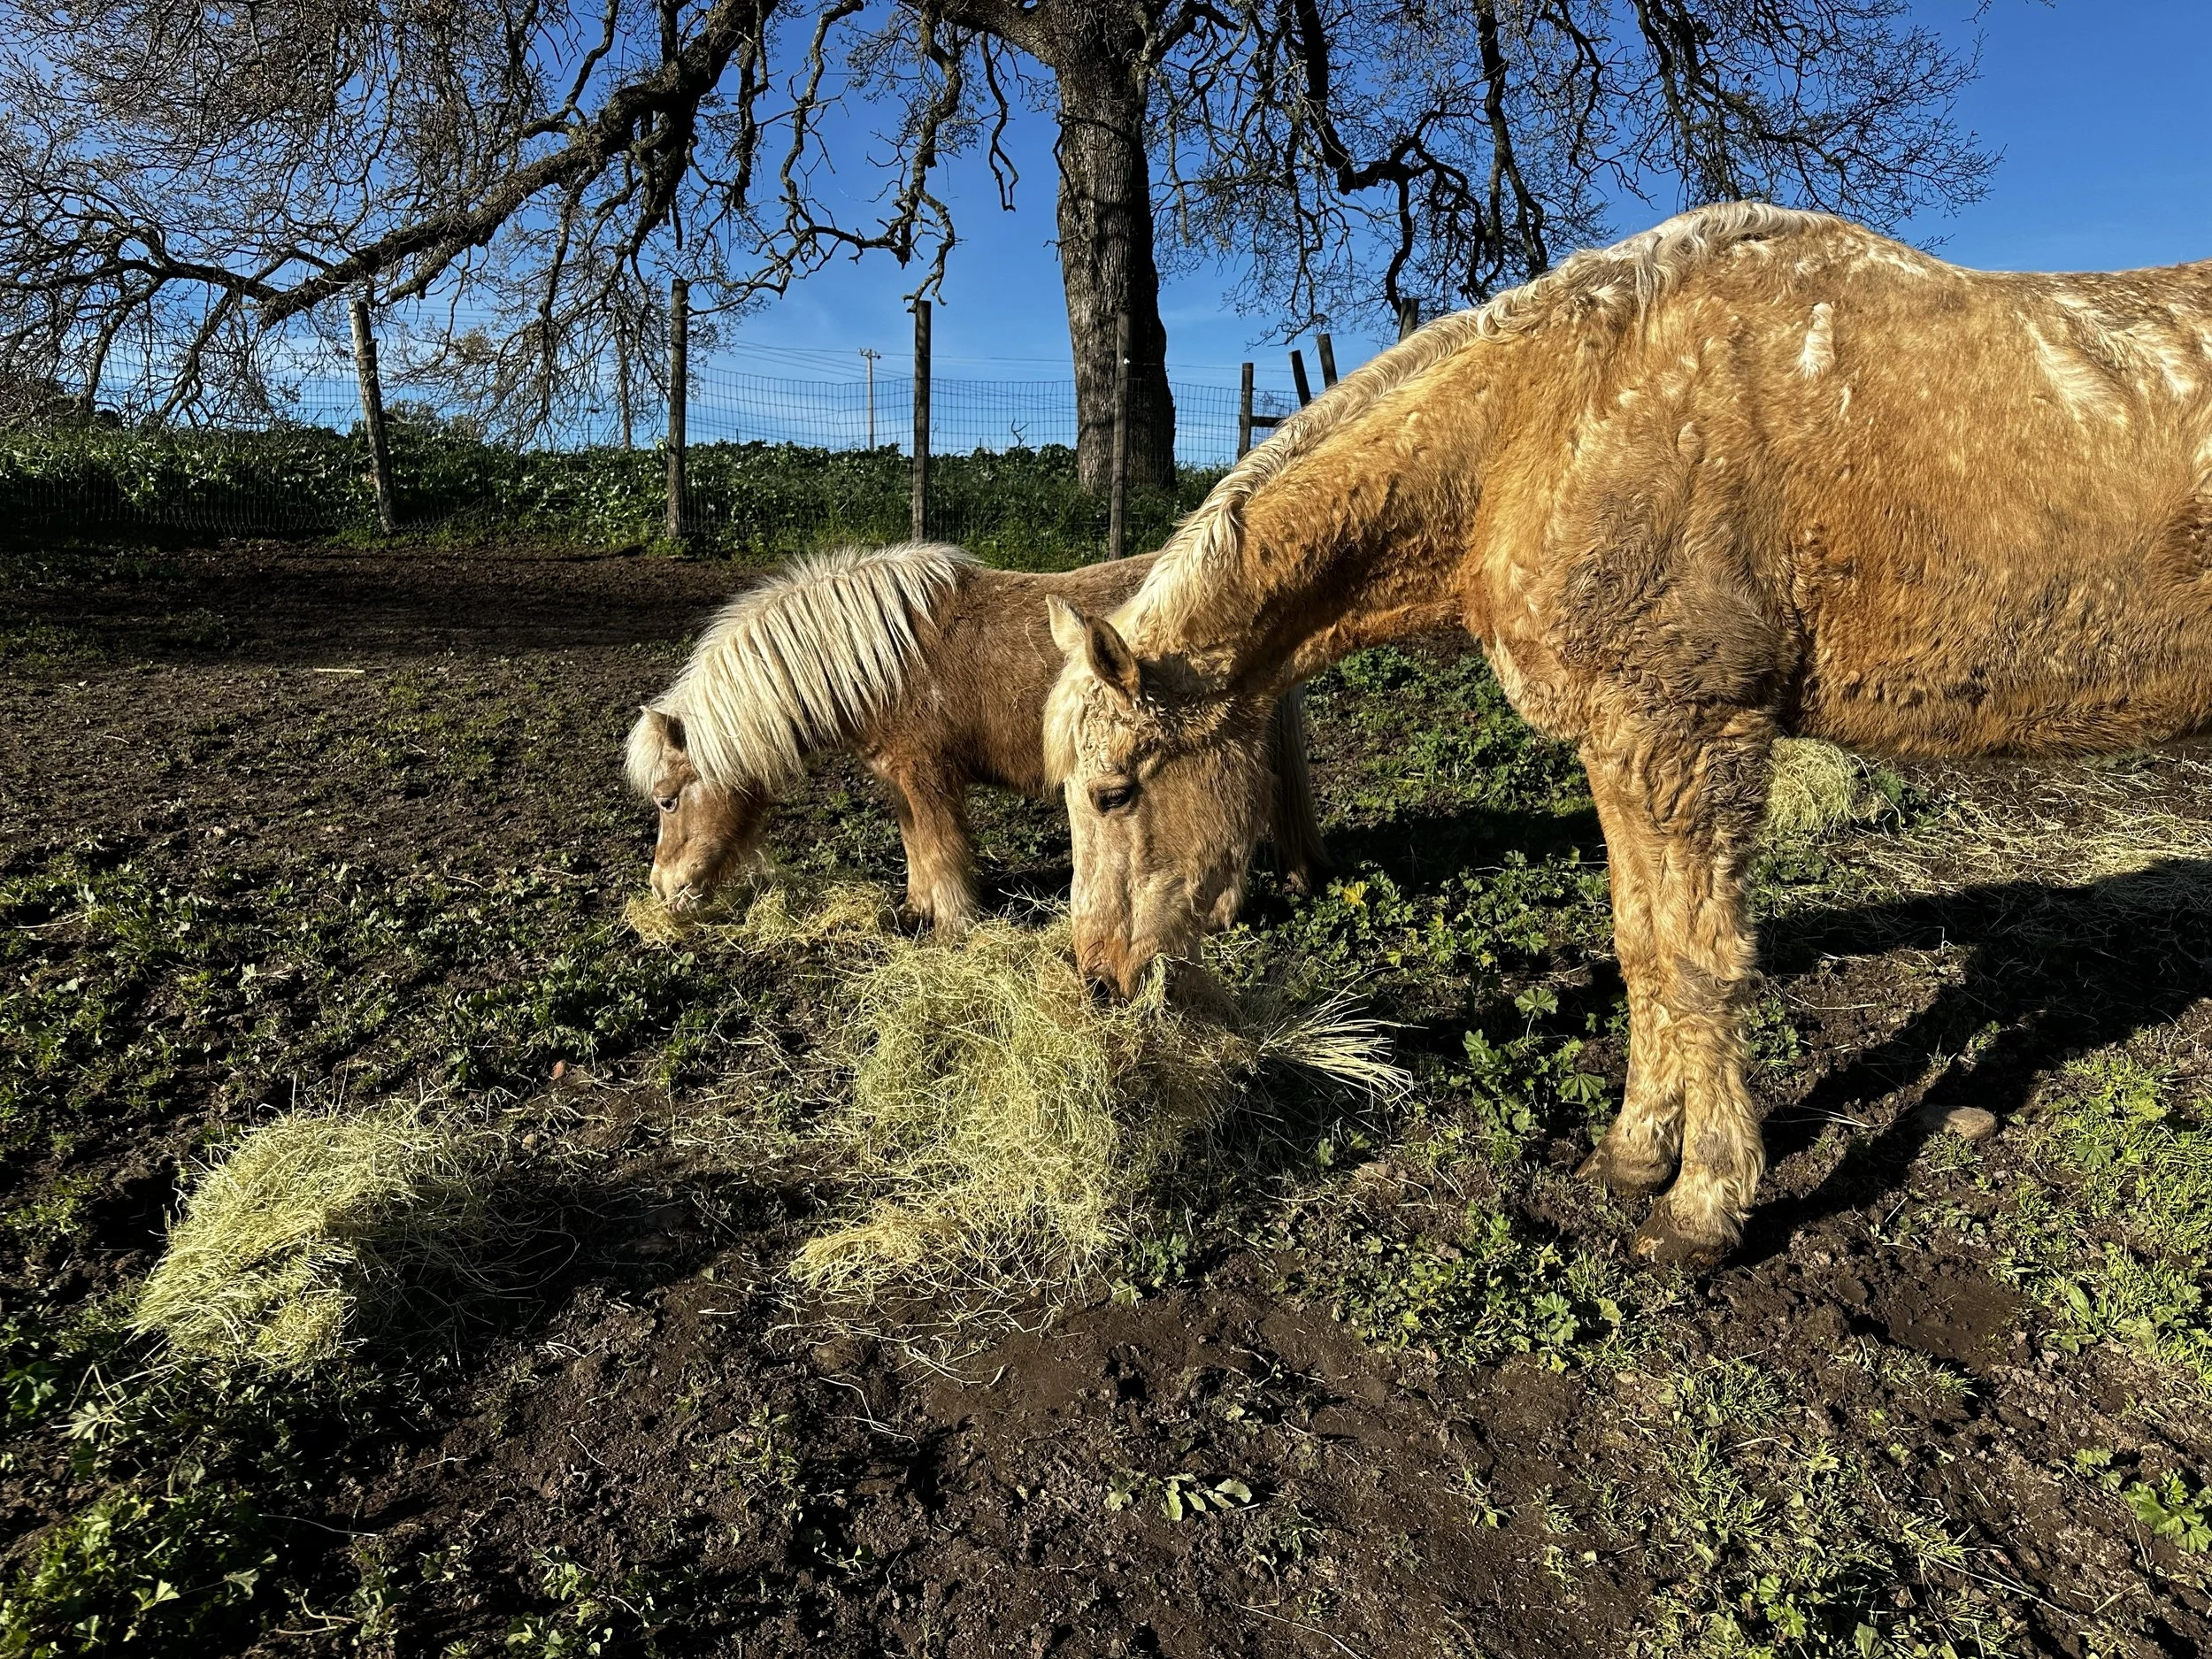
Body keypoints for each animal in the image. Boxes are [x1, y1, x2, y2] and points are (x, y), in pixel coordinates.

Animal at [626, 541, 1329, 934]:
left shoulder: (928, 774)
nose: (662, 891)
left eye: (667, 799)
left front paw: (955, 924)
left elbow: (942, 850)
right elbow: (915, 845)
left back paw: (1222, 914)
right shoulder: (899, 779)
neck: (881, 658)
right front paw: (915, 912)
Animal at [1041, 201, 2212, 1267]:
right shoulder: (1618, 747)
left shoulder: (1689, 739)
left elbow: (1700, 966)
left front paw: (1705, 1207)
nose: (1095, 979)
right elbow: (1641, 946)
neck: (1550, 420)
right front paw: (1637, 1152)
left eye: (1114, 791)